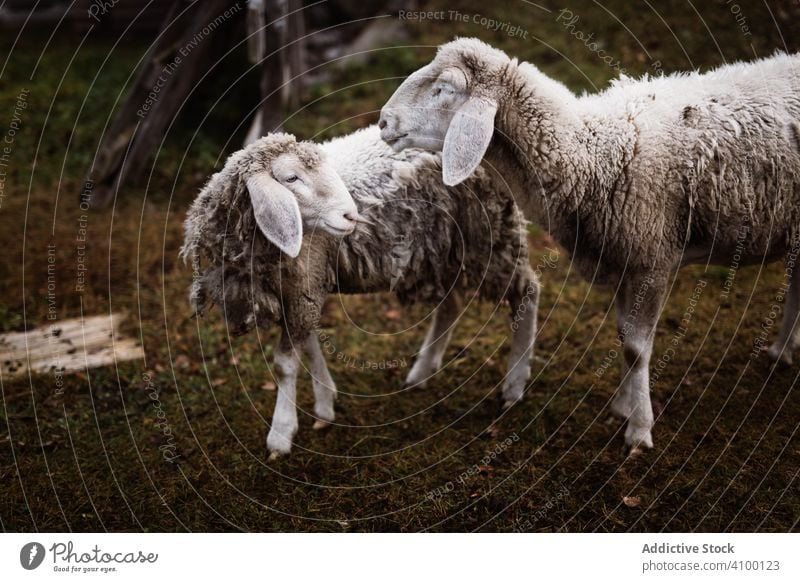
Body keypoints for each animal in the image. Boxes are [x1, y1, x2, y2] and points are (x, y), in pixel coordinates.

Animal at [181, 126, 536, 460]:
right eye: (291, 178)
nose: (351, 216)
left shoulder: (305, 280)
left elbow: (284, 363)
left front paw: (281, 433)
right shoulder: (299, 289)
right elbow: (310, 344)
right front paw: (325, 402)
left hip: (491, 232)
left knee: (527, 292)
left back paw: (514, 385)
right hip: (444, 247)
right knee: (451, 304)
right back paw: (422, 371)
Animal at [378, 37, 800, 452]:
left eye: (444, 89)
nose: (383, 121)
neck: (594, 152)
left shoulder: (650, 260)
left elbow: (635, 349)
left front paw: (639, 431)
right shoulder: (621, 259)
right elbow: (624, 336)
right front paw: (625, 406)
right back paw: (782, 351)